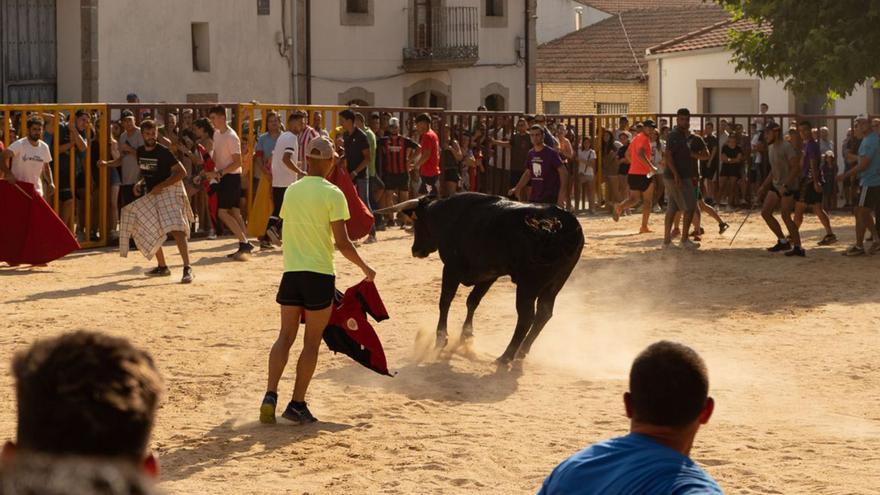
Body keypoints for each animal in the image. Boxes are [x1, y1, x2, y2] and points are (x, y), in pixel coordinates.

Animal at [376, 194, 584, 364]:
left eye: (417, 223)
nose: (415, 250)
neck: (447, 217)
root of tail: (558, 227)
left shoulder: (451, 269)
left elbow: (445, 301)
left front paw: (441, 338)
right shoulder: (489, 275)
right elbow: (472, 301)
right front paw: (466, 336)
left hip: (528, 285)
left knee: (526, 317)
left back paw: (506, 356)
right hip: (556, 283)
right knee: (544, 313)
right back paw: (522, 352)